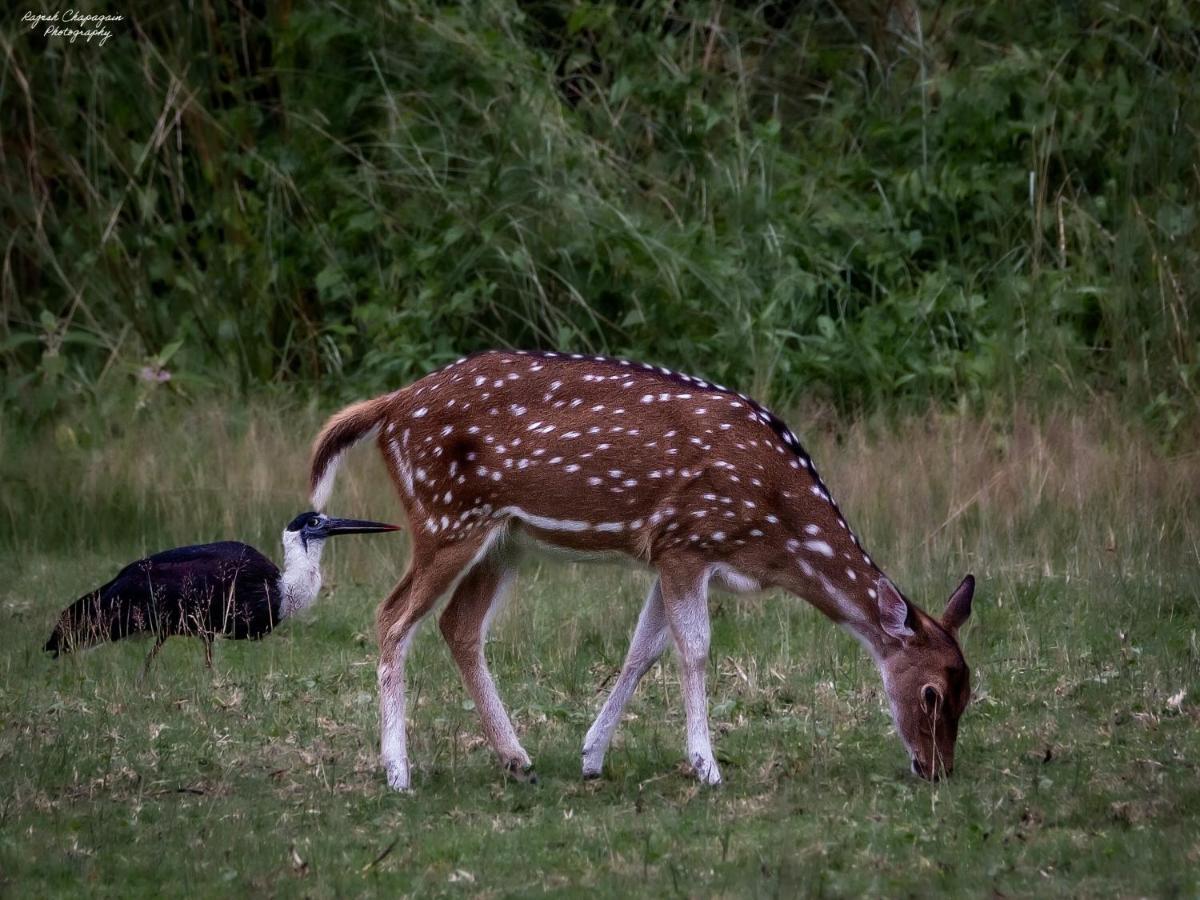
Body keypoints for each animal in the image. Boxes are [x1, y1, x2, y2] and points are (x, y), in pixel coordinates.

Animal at [309, 350, 974, 787]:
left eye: (970, 690)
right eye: (933, 693)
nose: (937, 770)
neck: (774, 532)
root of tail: (391, 406)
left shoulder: (671, 554)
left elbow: (643, 649)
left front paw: (592, 757)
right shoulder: (688, 540)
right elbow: (694, 649)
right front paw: (707, 766)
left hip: (503, 541)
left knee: (459, 626)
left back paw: (517, 759)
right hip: (446, 518)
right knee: (392, 617)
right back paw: (399, 773)